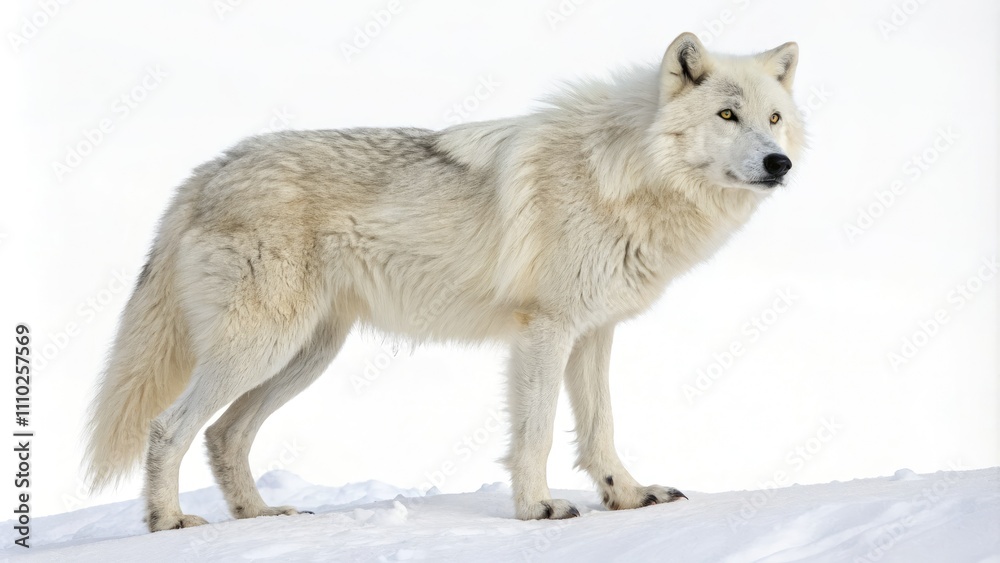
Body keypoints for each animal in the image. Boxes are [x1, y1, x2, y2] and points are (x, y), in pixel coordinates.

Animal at [85, 32, 803, 530]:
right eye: (727, 116)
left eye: (773, 118)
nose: (780, 163)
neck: (623, 171)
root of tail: (208, 170)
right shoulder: (545, 330)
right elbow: (538, 433)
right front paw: (537, 509)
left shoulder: (593, 332)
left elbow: (601, 429)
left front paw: (627, 497)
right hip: (261, 347)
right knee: (168, 428)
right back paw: (169, 522)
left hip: (305, 355)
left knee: (223, 434)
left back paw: (260, 519)